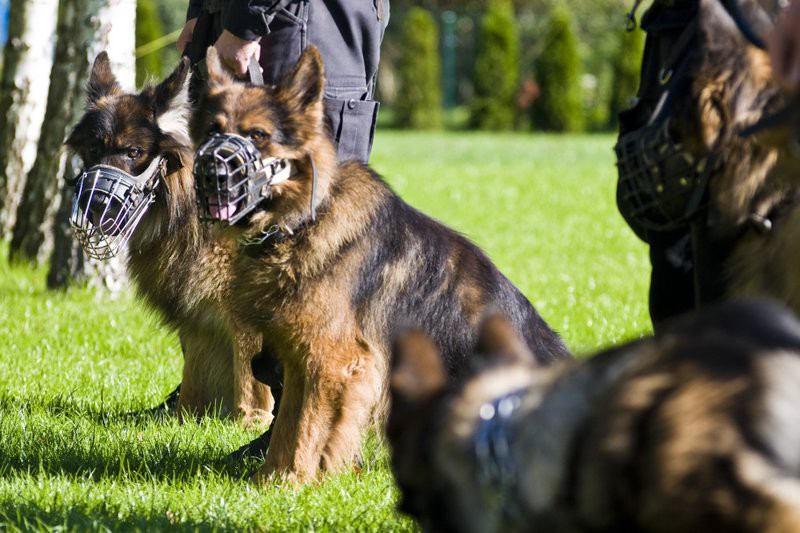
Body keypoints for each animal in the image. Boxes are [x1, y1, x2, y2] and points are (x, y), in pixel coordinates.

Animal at [65, 54, 274, 426]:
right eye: (92, 148)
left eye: (133, 152)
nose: (96, 202)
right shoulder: (198, 314)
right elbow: (194, 373)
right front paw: (184, 420)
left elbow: (249, 373)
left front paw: (250, 420)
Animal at [191, 45, 572, 482]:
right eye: (212, 132)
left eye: (257, 135)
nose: (211, 172)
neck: (306, 218)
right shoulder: (302, 358)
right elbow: (289, 424)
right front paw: (271, 478)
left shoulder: (334, 362)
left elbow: (307, 428)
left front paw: (292, 482)